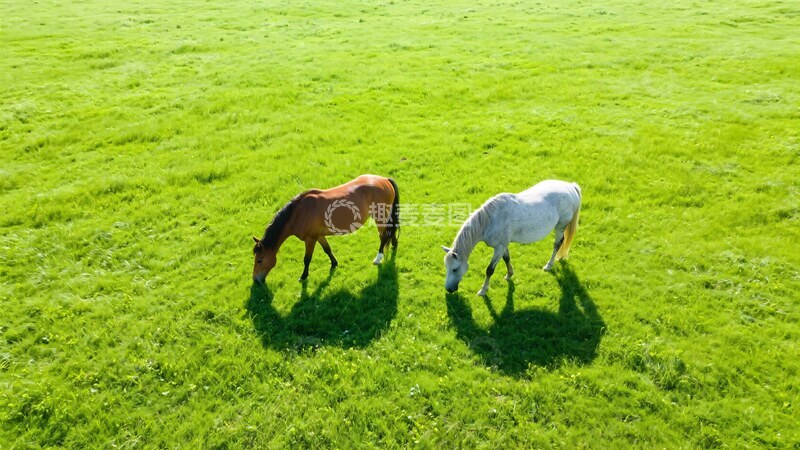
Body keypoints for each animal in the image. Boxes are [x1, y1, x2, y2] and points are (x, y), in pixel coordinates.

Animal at [252, 175, 399, 283]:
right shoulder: (319, 236)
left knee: (384, 236)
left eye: (259, 260)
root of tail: (385, 180)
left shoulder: (310, 239)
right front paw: (334, 263)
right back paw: (394, 244)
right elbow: (327, 249)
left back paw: (378, 258)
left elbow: (307, 259)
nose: (255, 279)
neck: (299, 213)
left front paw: (303, 276)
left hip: (380, 217)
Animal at [442, 180, 581, 296]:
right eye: (446, 267)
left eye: (455, 269)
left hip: (560, 226)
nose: (449, 289)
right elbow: (507, 258)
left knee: (557, 244)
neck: (490, 220)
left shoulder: (499, 247)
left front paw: (483, 290)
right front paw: (509, 275)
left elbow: (489, 270)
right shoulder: (504, 245)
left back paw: (548, 265)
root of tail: (571, 187)